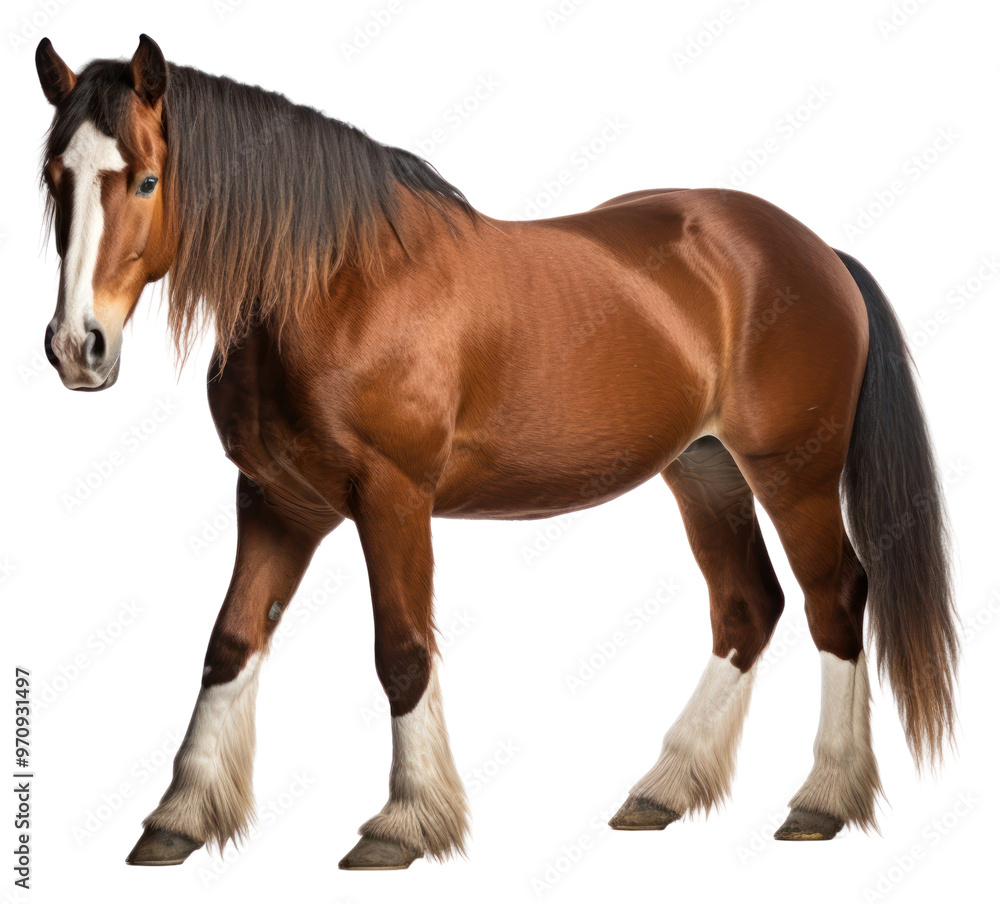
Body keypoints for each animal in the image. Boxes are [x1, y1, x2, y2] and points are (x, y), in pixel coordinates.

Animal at [36, 34, 958, 870]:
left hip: (794, 474)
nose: (77, 347)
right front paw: (179, 818)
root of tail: (815, 251)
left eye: (147, 179)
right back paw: (663, 790)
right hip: (704, 471)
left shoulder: (393, 497)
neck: (336, 282)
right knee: (747, 607)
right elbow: (229, 644)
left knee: (835, 599)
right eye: (54, 179)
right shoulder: (276, 501)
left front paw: (405, 824)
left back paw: (823, 800)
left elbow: (403, 652)